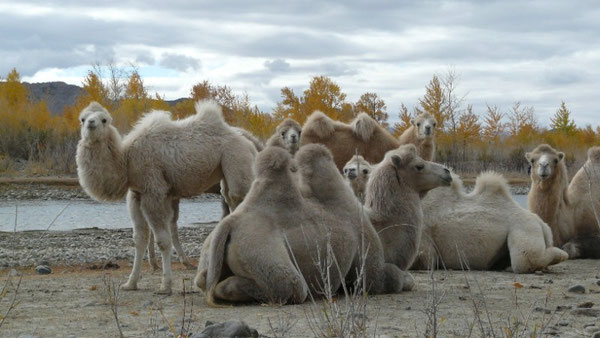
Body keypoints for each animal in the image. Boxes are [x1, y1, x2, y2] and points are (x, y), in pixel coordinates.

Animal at [75, 99, 255, 294]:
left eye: (104, 120)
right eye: (82, 118)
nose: (91, 124)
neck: (127, 161)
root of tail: (249, 143)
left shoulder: (154, 191)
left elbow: (162, 240)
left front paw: (165, 285)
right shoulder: (136, 195)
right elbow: (139, 239)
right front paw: (130, 283)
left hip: (236, 161)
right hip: (227, 174)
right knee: (232, 203)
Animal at [197, 144, 408, 304]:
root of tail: (229, 224)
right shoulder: (366, 253)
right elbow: (385, 277)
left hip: (211, 252)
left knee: (202, 280)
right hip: (258, 250)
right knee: (292, 287)